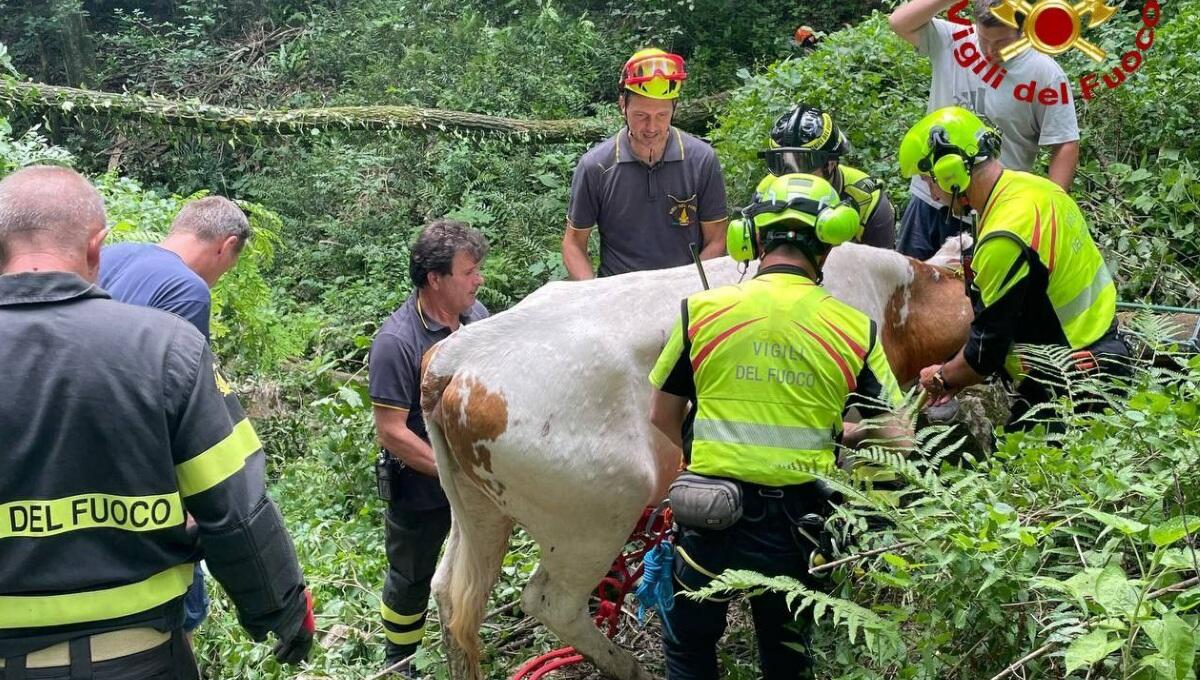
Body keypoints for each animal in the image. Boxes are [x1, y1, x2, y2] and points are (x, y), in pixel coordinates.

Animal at [420, 241, 973, 680]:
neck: (897, 295)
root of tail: (456, 357)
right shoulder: (876, 415)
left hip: (479, 510)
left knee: (452, 596)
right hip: (596, 517)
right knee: (549, 601)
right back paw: (632, 668)